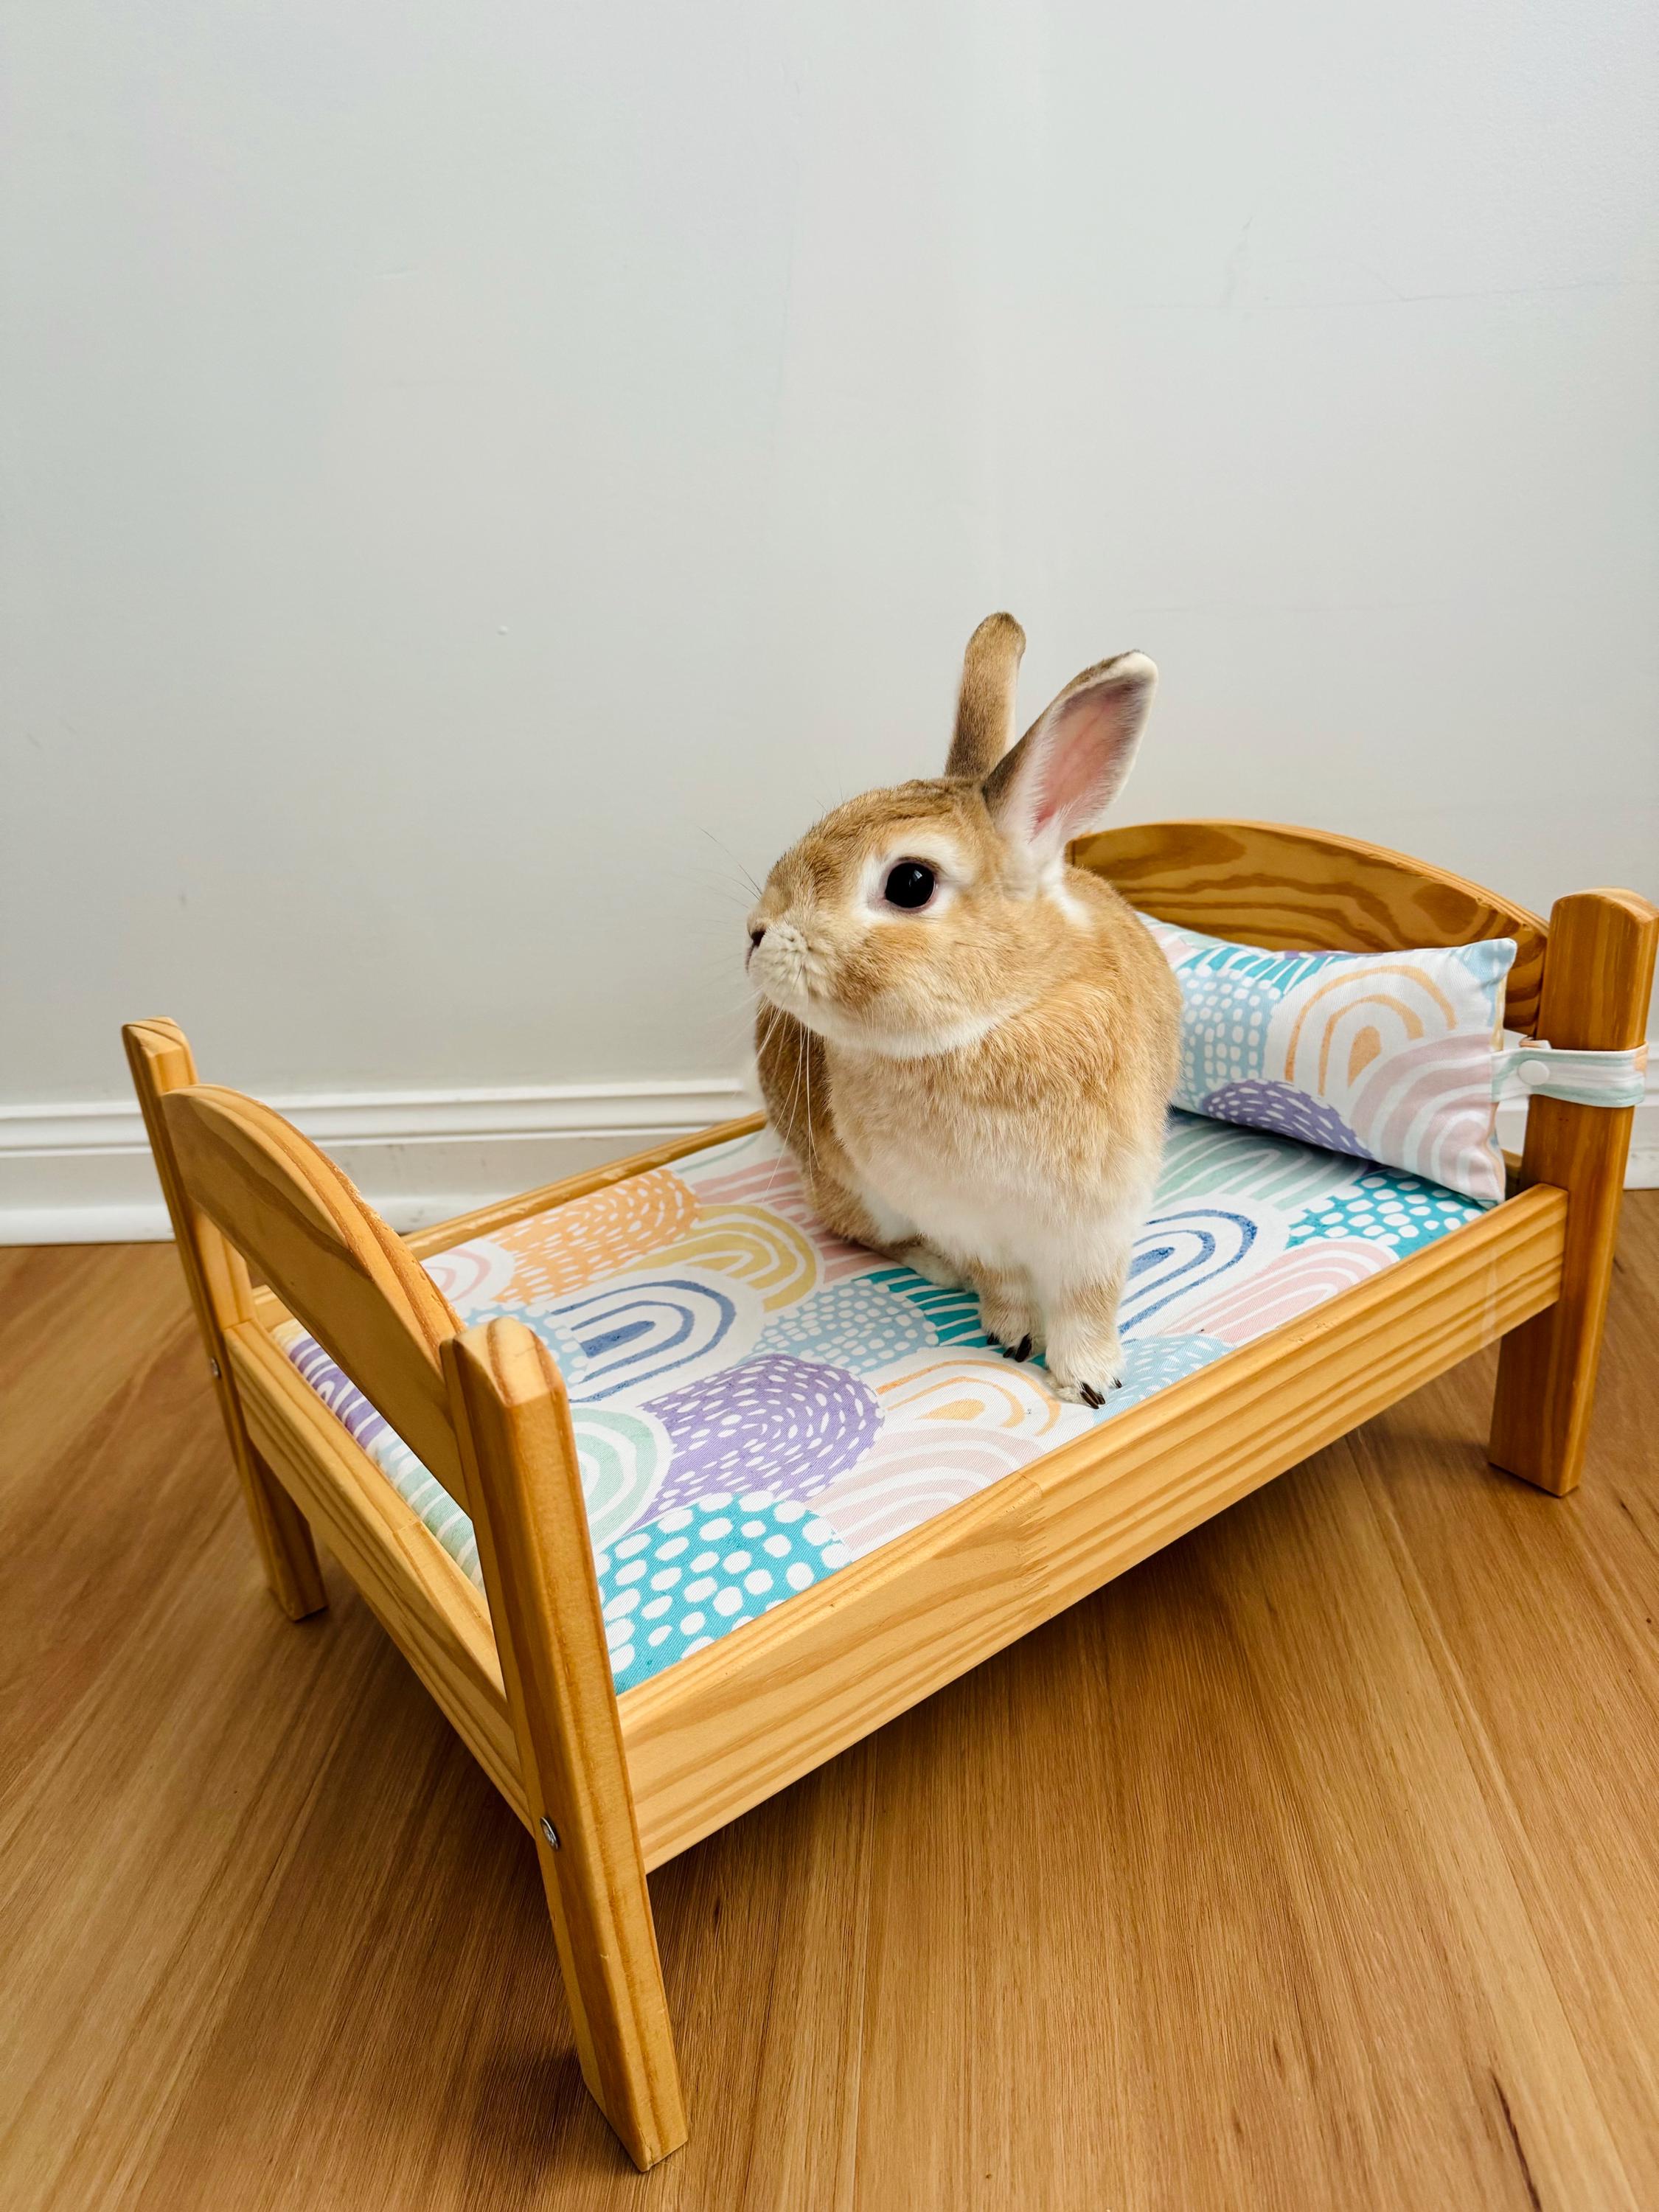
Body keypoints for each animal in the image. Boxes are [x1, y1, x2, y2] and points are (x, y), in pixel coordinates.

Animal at [748, 613, 1181, 1405]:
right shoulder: (975, 1226)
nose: (756, 934)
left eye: (911, 883)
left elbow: (1087, 1304)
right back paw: (936, 1267)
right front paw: (1013, 1338)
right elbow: (1002, 1284)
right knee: (871, 1236)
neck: (993, 1019)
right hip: (858, 1194)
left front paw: (1090, 1381)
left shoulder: (1095, 1226)